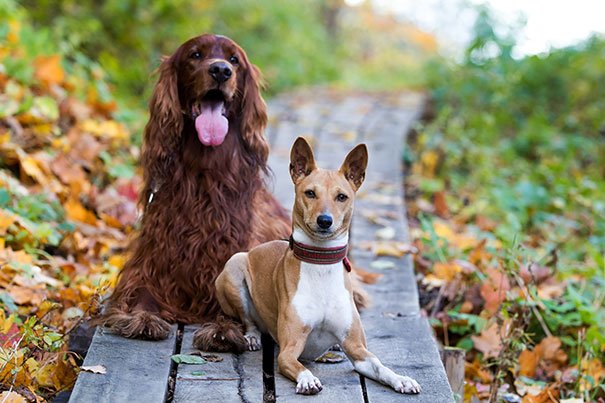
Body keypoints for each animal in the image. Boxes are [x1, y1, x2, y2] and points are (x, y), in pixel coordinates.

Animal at [96, 34, 290, 350]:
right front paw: (143, 319)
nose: (221, 70)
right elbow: (141, 294)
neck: (203, 173)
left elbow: (229, 299)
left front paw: (222, 329)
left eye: (234, 60)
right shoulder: (152, 263)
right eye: (195, 55)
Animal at [214, 138, 420, 394]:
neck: (321, 262)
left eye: (341, 197)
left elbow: (380, 366)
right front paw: (308, 379)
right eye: (310, 193)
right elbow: (299, 365)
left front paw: (401, 379)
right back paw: (252, 336)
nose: (325, 220)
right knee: (248, 320)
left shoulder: (358, 350)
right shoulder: (288, 351)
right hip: (234, 267)